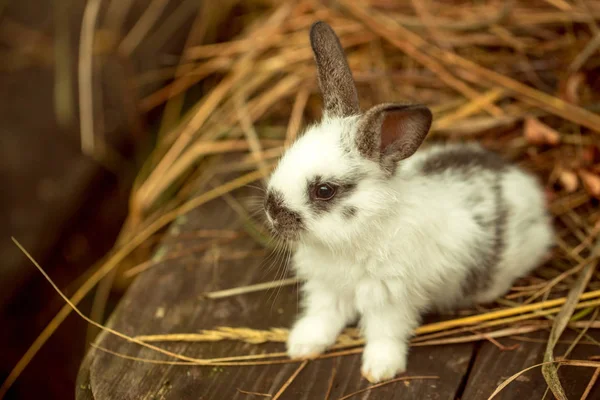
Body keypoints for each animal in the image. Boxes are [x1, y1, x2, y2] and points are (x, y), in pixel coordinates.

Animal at [262, 21, 552, 384]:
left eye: (324, 190)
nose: (271, 211)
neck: (355, 239)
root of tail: (526, 185)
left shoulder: (390, 298)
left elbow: (385, 333)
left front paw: (379, 370)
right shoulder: (328, 288)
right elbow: (322, 316)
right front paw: (302, 346)